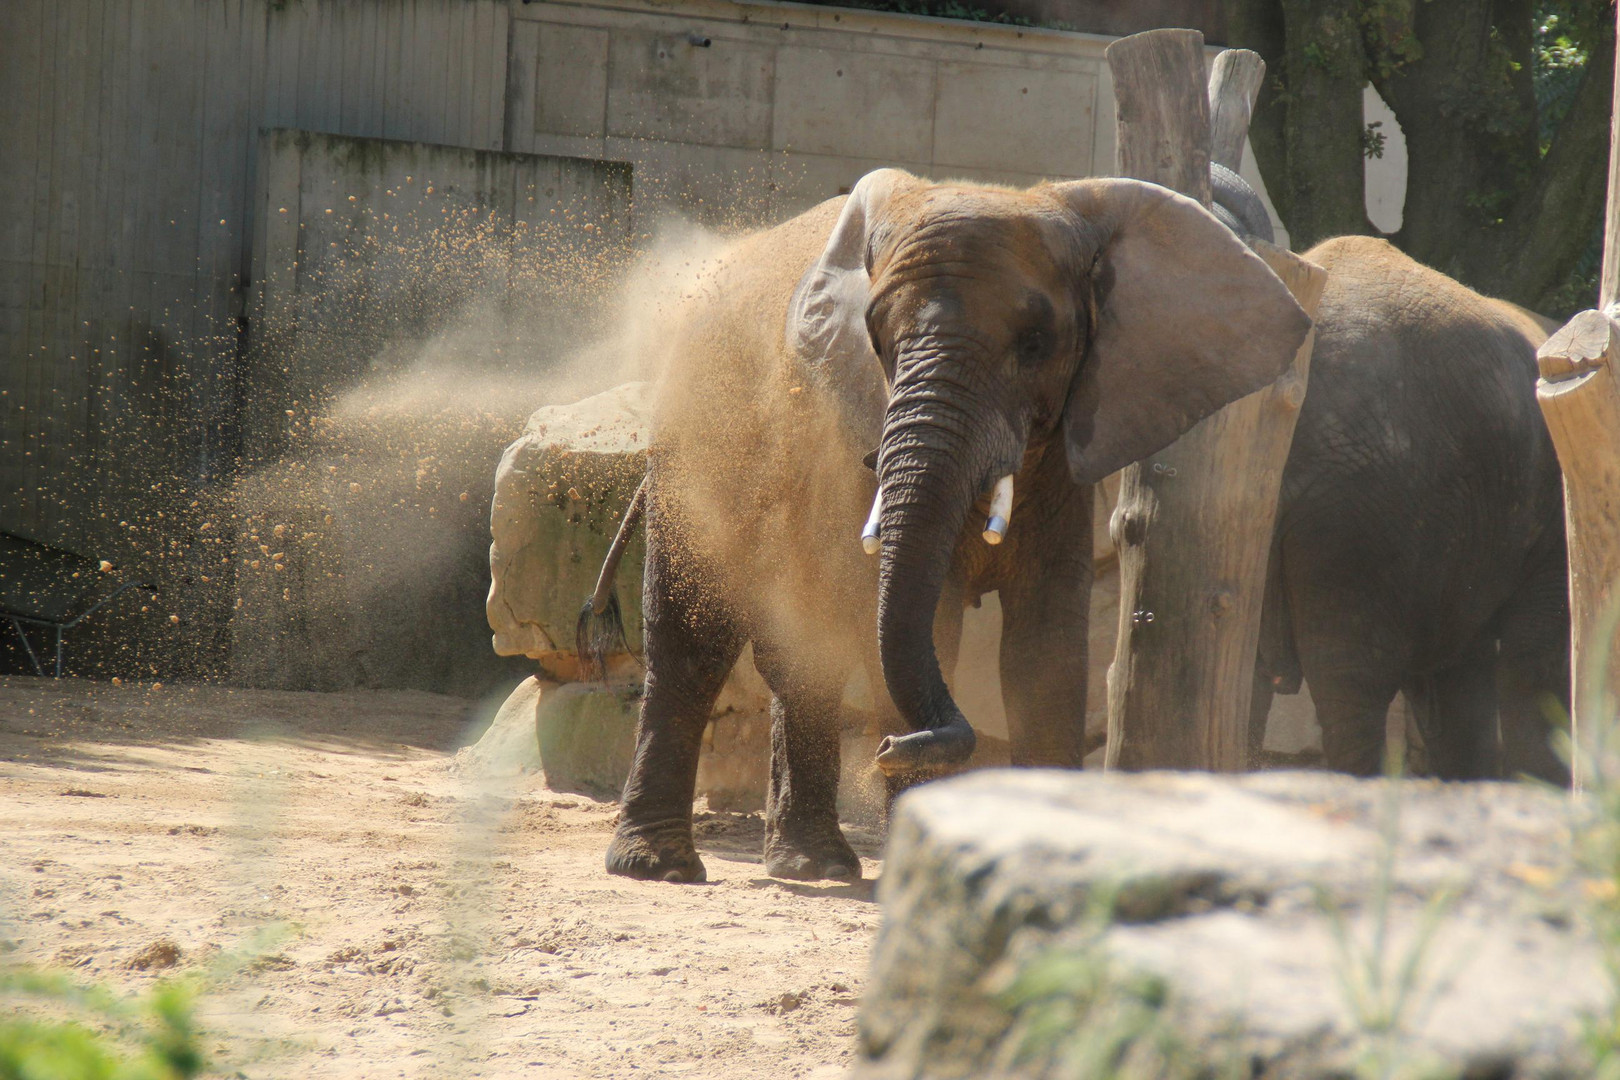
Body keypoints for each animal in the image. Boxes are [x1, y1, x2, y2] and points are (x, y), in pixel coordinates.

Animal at [589, 165, 1308, 880]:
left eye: (1036, 345)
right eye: (879, 340)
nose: (887, 746)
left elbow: (1046, 642)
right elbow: (928, 621)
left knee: (802, 651)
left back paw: (812, 866)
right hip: (693, 448)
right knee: (692, 638)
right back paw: (659, 865)